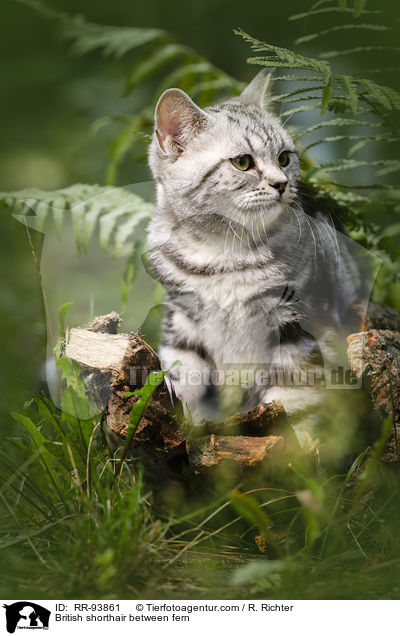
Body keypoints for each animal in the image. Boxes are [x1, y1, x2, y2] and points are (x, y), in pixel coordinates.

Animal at [148, 71, 368, 438]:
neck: (223, 253)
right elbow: (181, 380)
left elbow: (293, 400)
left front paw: (298, 447)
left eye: (284, 158)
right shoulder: (184, 324)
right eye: (243, 162)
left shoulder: (295, 325)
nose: (281, 184)